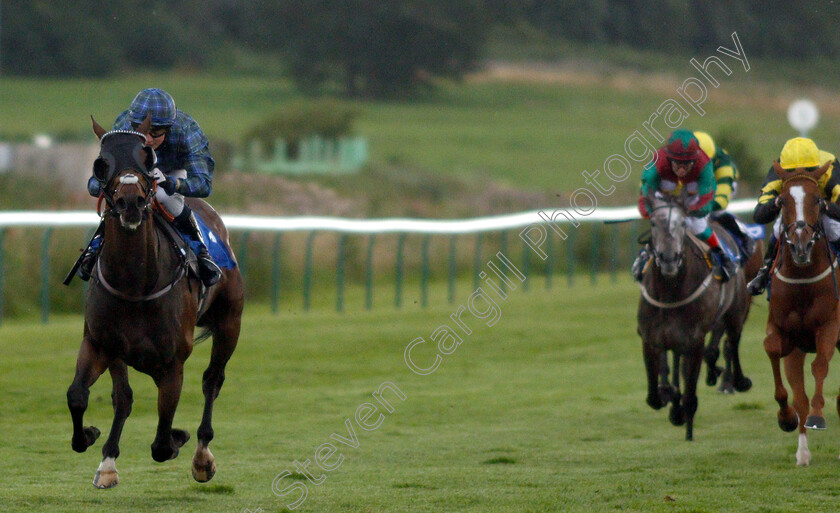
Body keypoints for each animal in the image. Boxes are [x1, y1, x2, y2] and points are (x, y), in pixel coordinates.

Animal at [66, 116, 244, 488]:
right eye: (101, 162)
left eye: (147, 158)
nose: (130, 202)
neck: (135, 283)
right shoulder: (101, 343)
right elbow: (79, 395)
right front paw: (91, 439)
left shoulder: (172, 362)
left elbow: (162, 443)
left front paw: (179, 438)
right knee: (123, 398)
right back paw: (108, 459)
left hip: (230, 322)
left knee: (212, 379)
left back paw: (202, 455)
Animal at [640, 192, 752, 440]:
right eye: (653, 224)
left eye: (682, 223)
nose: (669, 258)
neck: (670, 293)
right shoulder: (651, 340)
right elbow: (654, 396)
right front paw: (671, 401)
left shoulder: (694, 342)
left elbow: (690, 394)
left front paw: (685, 422)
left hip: (736, 312)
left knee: (732, 343)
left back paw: (736, 380)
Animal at [760, 162, 840, 466]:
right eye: (782, 201)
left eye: (817, 200)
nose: (801, 246)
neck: (804, 279)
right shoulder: (786, 334)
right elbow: (773, 350)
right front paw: (786, 418)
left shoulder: (830, 325)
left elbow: (820, 365)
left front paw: (818, 416)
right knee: (800, 396)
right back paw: (803, 453)